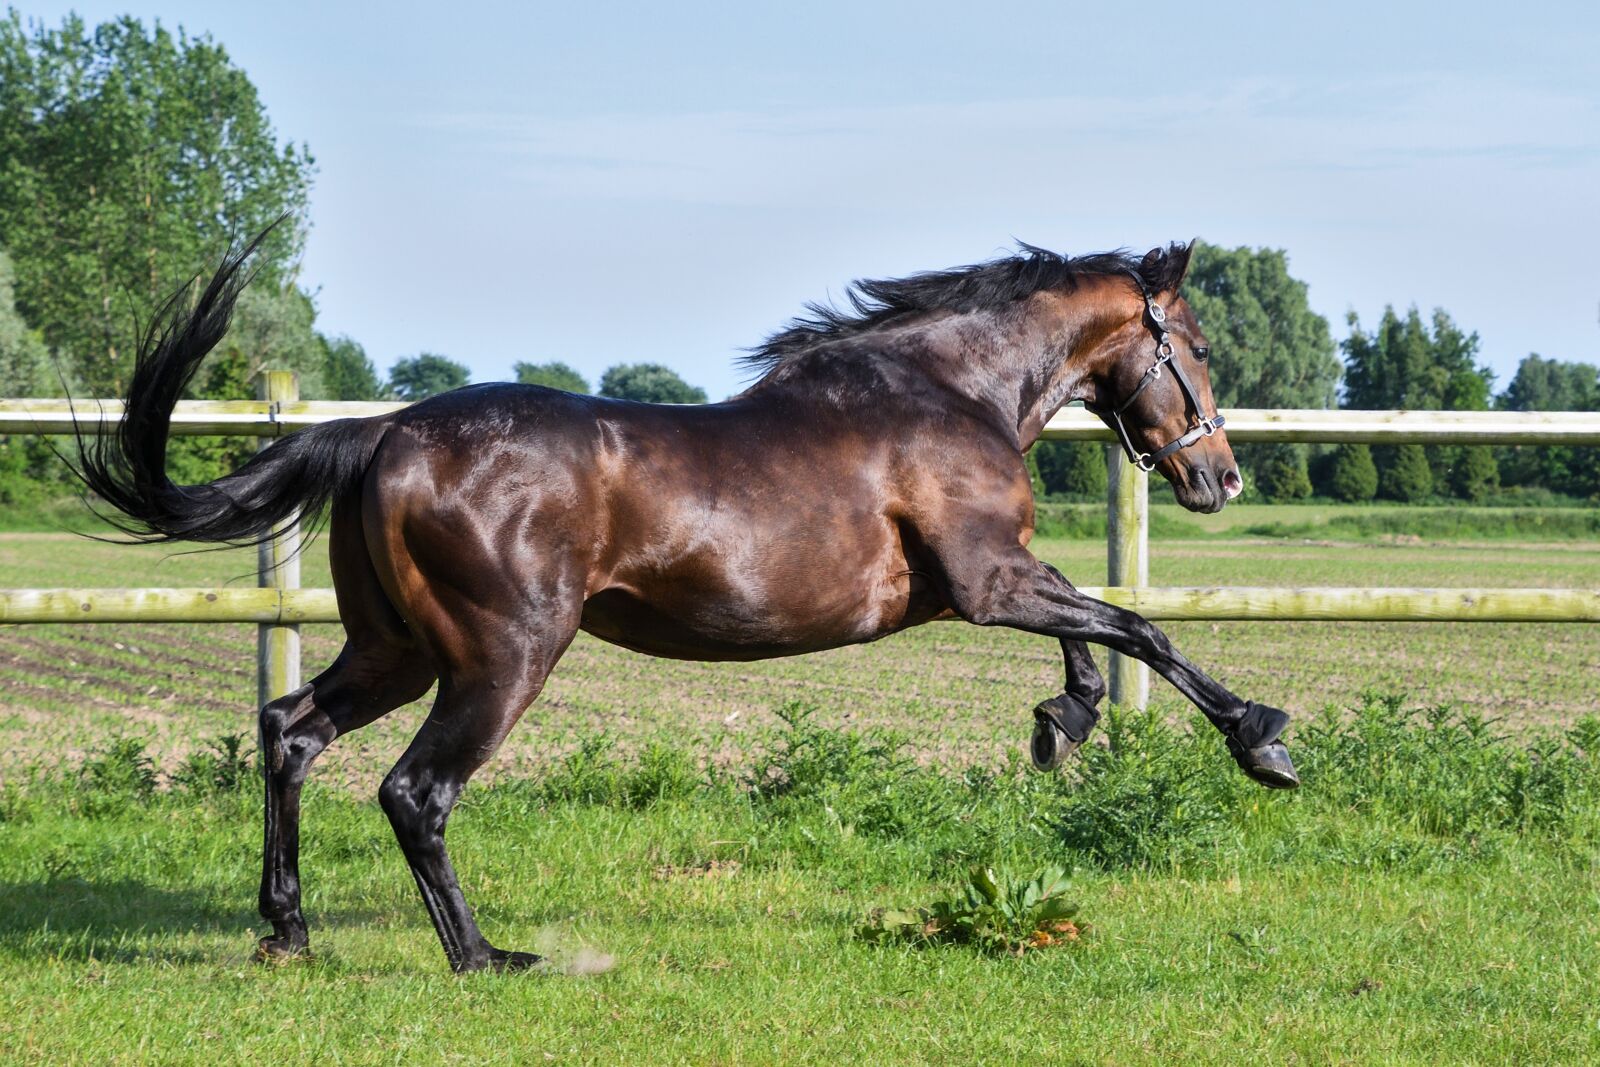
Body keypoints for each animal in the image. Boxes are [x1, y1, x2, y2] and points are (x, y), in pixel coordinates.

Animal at [73, 234, 1298, 974]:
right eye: (1193, 345)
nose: (1221, 477)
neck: (949, 393)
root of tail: (381, 432)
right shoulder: (990, 581)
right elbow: (1139, 626)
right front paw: (1264, 743)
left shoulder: (992, 586)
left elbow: (1100, 640)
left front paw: (1062, 725)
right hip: (503, 657)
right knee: (415, 790)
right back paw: (485, 956)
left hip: (398, 650)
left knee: (291, 732)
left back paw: (288, 931)